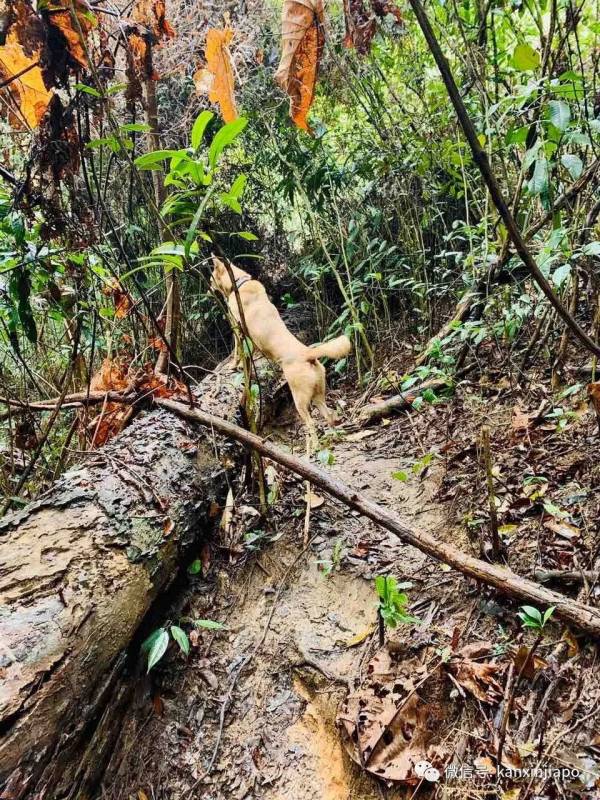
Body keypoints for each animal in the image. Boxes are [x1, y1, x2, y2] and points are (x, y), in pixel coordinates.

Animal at [212, 255, 350, 446]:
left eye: (211, 276)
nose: (210, 286)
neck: (239, 283)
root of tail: (307, 354)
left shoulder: (237, 330)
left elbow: (237, 352)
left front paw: (232, 366)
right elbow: (248, 355)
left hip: (300, 400)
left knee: (311, 424)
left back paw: (314, 447)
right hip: (318, 395)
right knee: (329, 416)